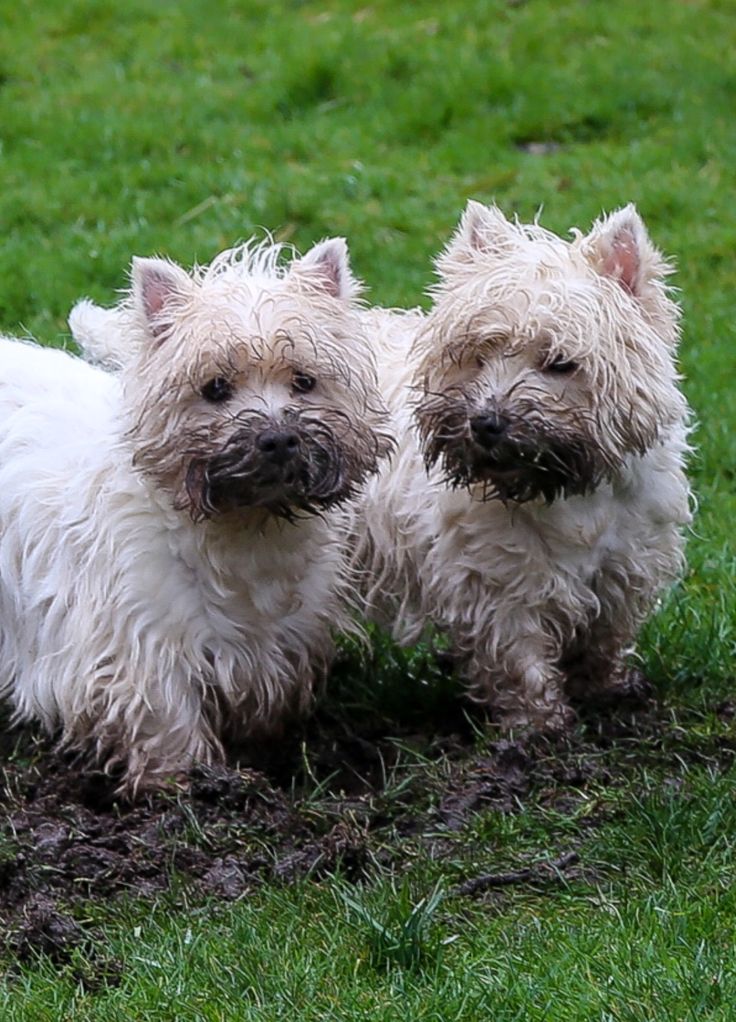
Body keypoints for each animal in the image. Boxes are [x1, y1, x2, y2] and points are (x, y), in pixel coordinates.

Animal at [0, 237, 390, 788]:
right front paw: (185, 783)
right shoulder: (138, 645)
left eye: (304, 381)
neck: (246, 535)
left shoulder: (277, 643)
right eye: (215, 387)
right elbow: (165, 718)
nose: (278, 439)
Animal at [353, 201, 691, 727]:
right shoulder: (496, 579)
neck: (570, 491)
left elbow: (604, 638)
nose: (485, 423)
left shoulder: (625, 560)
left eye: (560, 362)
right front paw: (539, 727)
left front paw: (609, 691)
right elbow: (519, 655)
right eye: (478, 355)